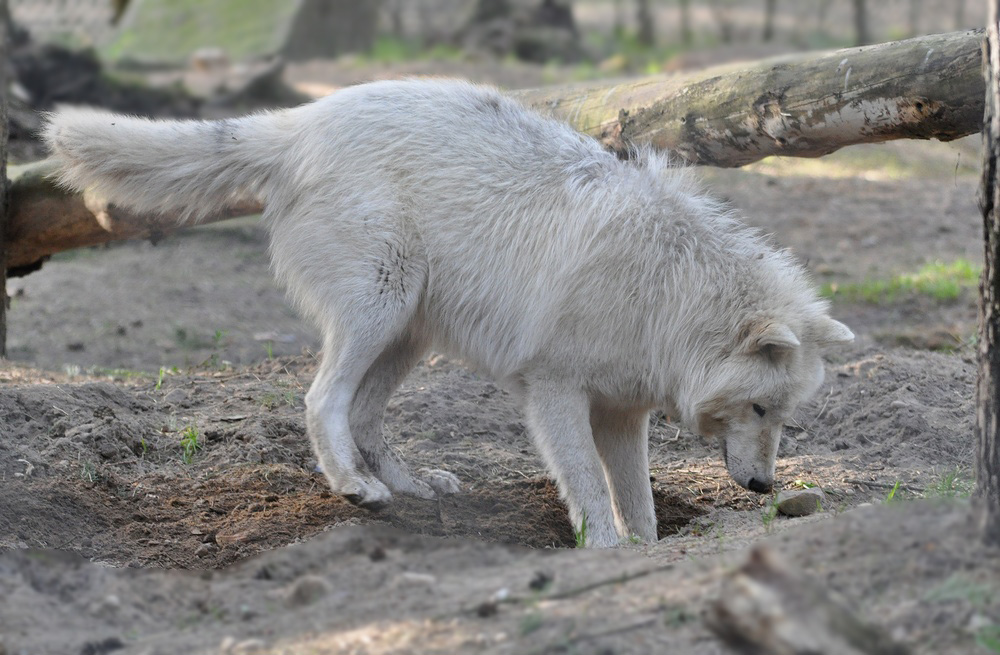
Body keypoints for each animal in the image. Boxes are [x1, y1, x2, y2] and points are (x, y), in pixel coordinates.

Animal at [45, 78, 852, 548]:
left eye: (782, 416)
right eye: (758, 407)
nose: (763, 489)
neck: (669, 290)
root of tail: (302, 119)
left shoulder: (624, 413)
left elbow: (641, 505)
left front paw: (644, 553)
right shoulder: (555, 391)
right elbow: (591, 492)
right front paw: (603, 555)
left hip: (409, 334)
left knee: (365, 413)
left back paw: (406, 486)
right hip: (379, 307)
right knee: (321, 400)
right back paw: (355, 488)